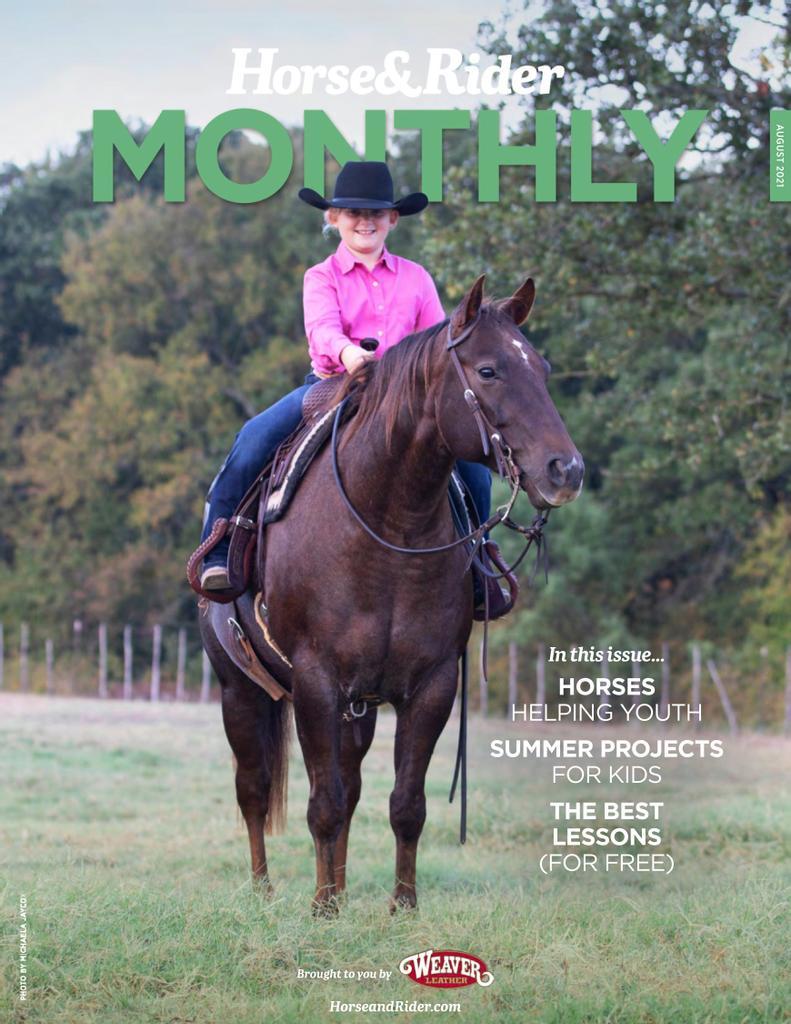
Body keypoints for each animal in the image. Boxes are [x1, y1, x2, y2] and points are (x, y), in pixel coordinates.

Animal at [199, 274, 584, 913]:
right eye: (488, 370)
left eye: (544, 368)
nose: (566, 470)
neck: (388, 524)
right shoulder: (316, 682)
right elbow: (322, 804)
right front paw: (322, 910)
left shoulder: (430, 686)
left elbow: (404, 805)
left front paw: (401, 906)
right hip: (240, 691)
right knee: (254, 790)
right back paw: (263, 891)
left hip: (357, 709)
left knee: (350, 787)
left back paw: (338, 884)